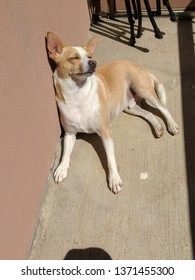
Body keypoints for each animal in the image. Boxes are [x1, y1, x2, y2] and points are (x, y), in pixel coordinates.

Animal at [46, 31, 178, 194]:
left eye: (89, 56)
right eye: (73, 58)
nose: (93, 62)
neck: (77, 94)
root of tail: (139, 66)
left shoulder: (105, 133)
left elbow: (110, 159)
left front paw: (114, 179)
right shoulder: (69, 134)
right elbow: (65, 154)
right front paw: (62, 168)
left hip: (144, 90)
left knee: (163, 108)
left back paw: (171, 125)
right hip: (130, 107)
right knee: (150, 114)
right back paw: (158, 128)